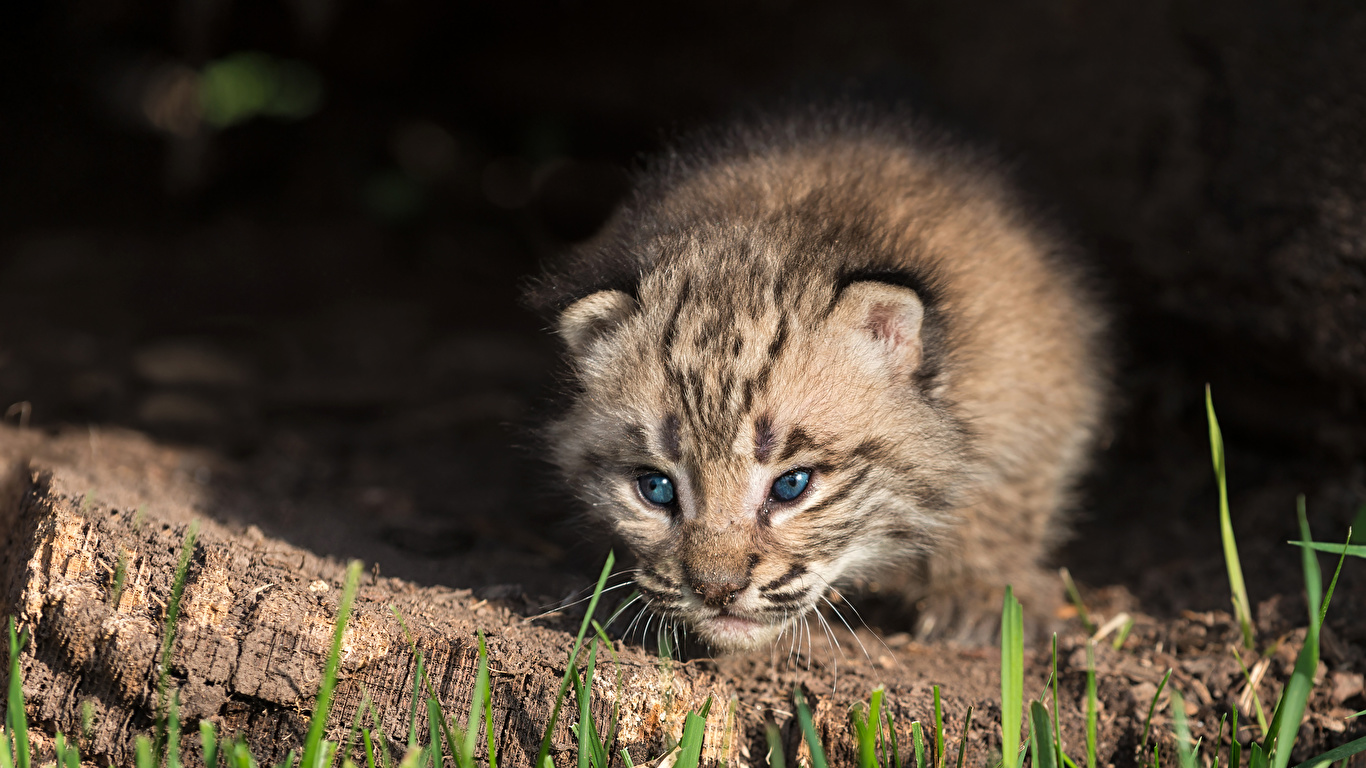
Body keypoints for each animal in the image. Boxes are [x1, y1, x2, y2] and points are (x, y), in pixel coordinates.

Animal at [527, 109, 1103, 645]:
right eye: (655, 488)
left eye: (792, 485)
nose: (716, 591)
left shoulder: (1040, 379)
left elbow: (1010, 490)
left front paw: (983, 593)